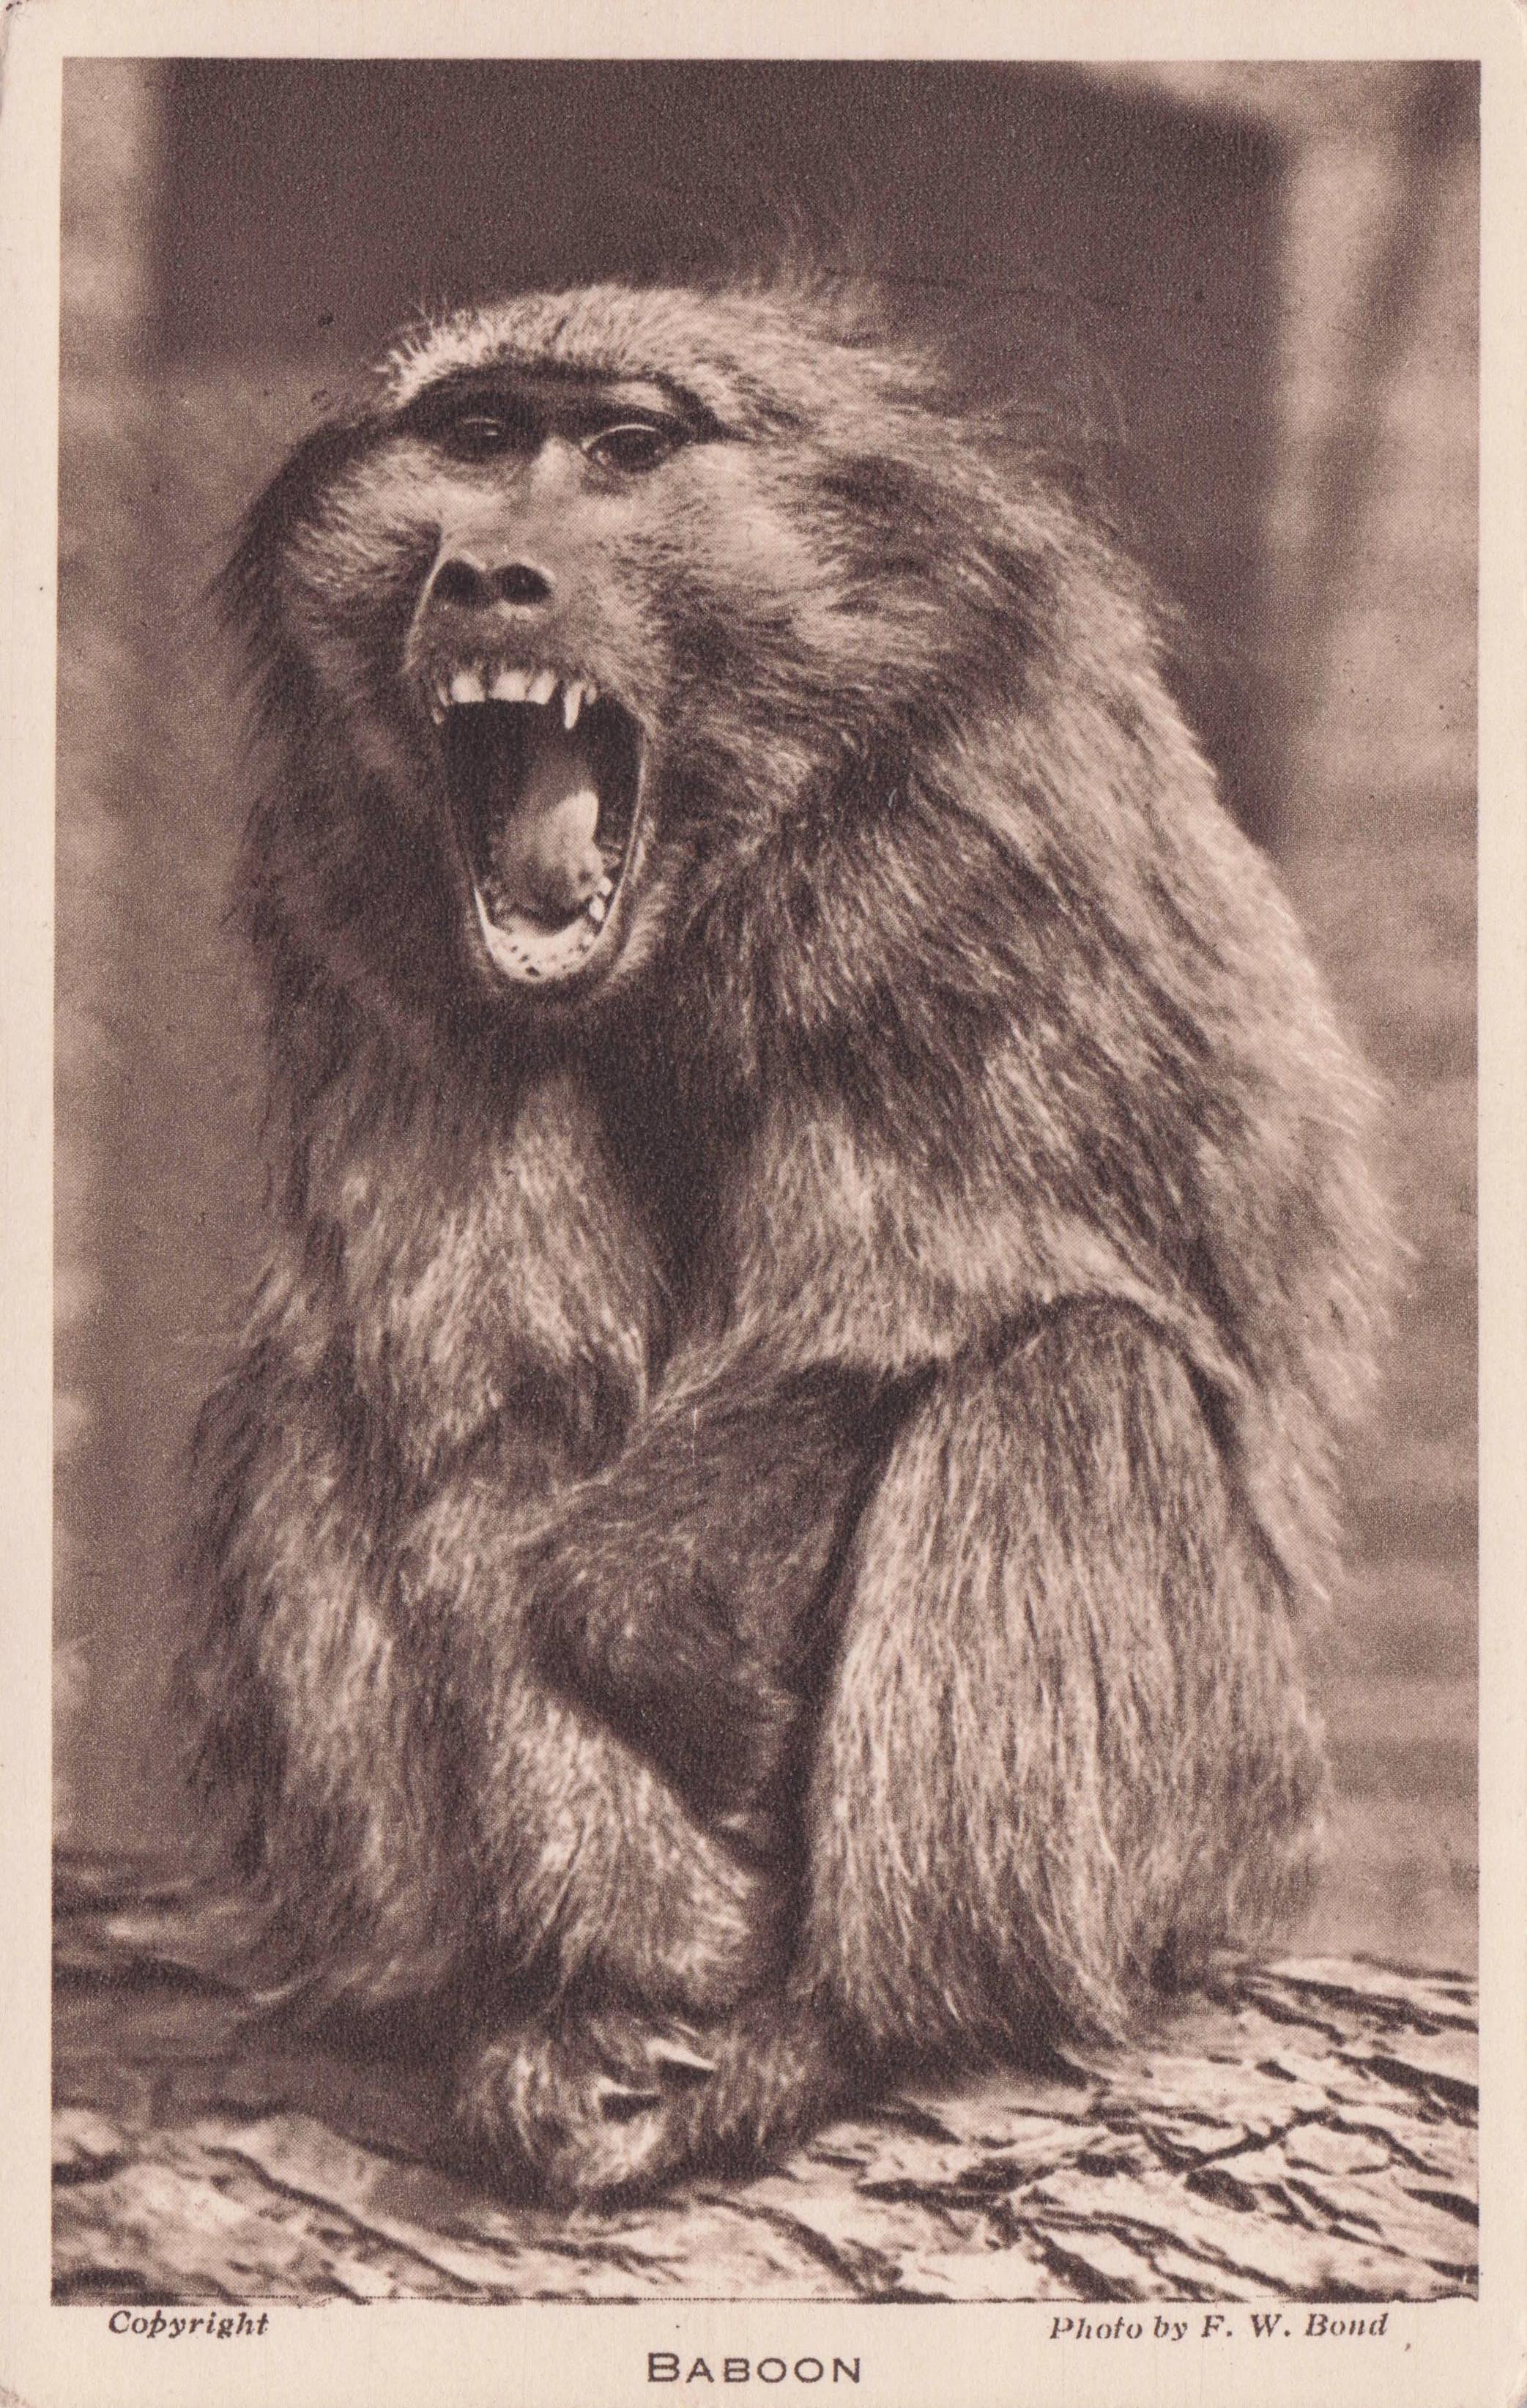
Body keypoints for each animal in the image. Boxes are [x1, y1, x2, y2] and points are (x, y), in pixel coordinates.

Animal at [181, 271, 1392, 2203]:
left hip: (1231, 1818)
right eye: (475, 439)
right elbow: (478, 1416)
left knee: (1065, 1378)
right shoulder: (359, 897)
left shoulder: (965, 851)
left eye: (621, 450)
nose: (487, 573)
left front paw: (700, 1719)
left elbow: (892, 1315)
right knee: (310, 1399)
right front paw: (625, 1945)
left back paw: (860, 2024)